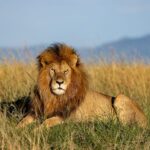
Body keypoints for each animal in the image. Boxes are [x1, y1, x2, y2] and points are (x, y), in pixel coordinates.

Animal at [17, 43, 148, 127]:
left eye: (66, 71)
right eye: (53, 70)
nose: (59, 82)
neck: (53, 97)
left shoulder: (63, 117)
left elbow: (45, 123)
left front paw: (35, 131)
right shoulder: (36, 112)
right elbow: (22, 121)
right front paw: (16, 129)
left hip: (120, 97)